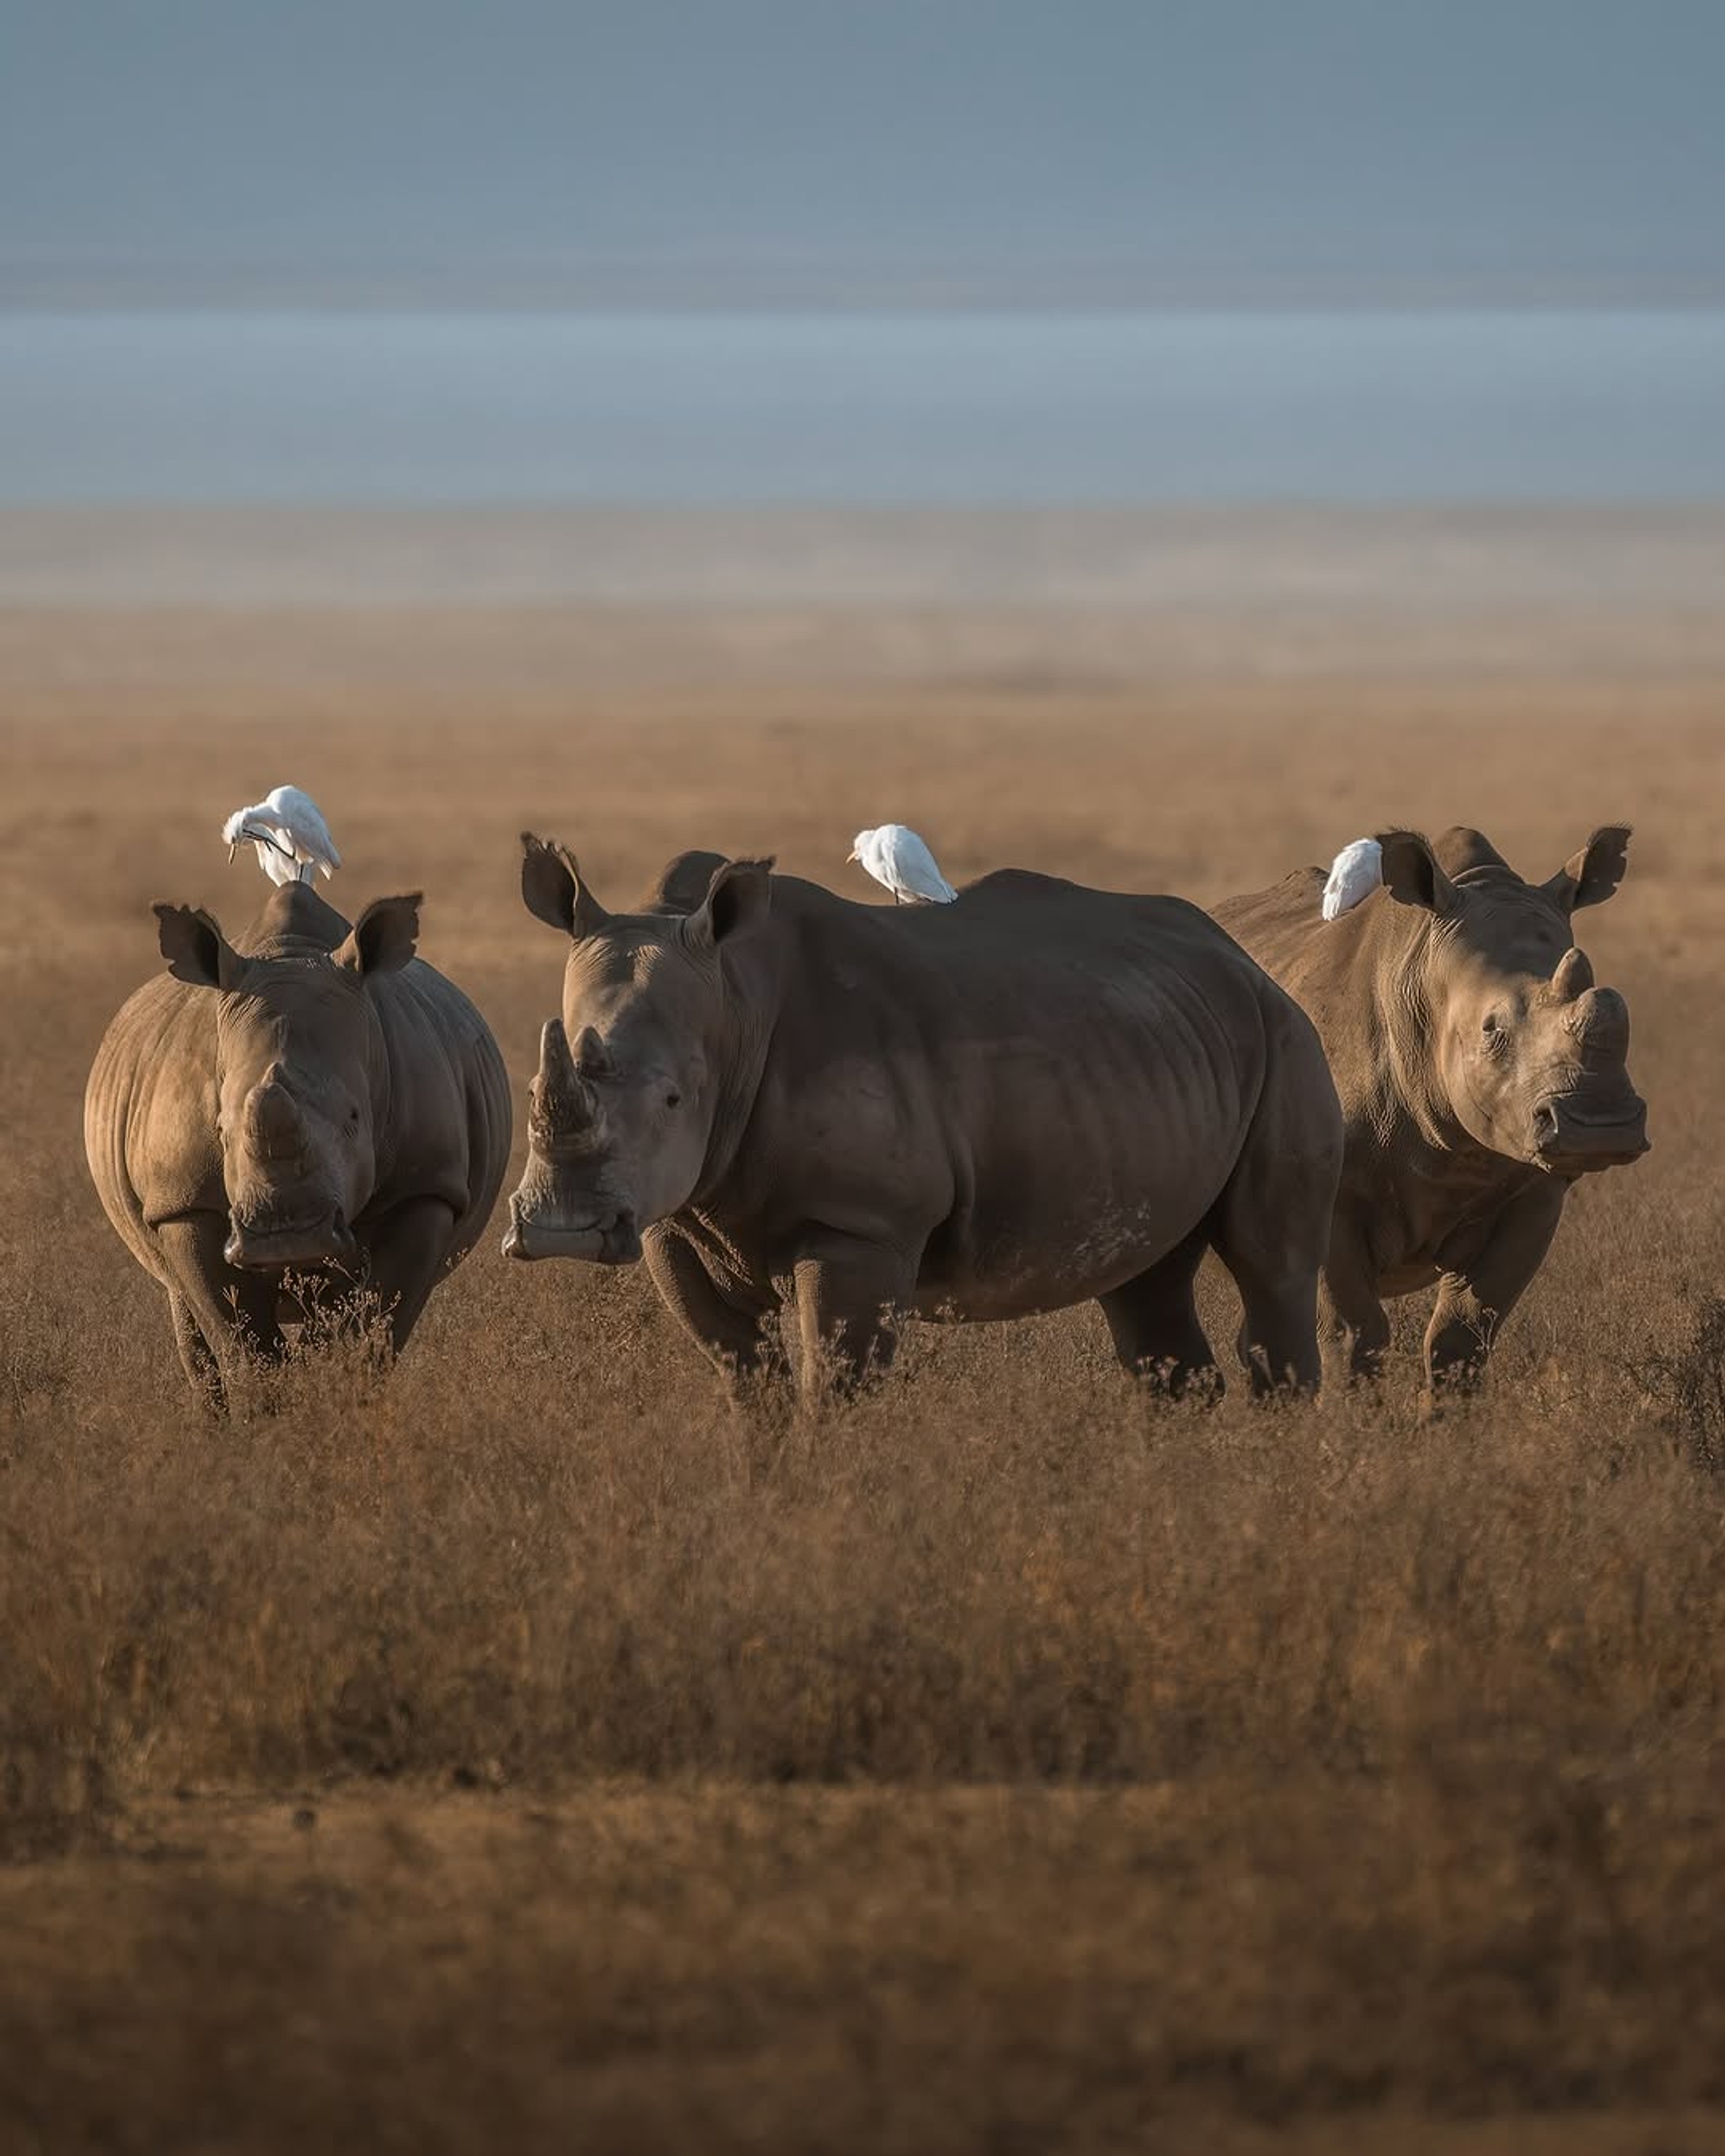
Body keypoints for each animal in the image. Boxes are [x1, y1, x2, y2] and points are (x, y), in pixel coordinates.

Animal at [86, 881, 512, 1406]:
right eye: (221, 1130)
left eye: (355, 1119)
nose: (285, 1238)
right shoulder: (182, 1199)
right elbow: (240, 1336)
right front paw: (270, 1414)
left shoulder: (426, 1188)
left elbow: (367, 1327)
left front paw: (331, 1398)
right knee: (181, 1301)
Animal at [502, 839, 1345, 1403]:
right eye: (533, 1088)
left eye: (675, 1100)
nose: (560, 1230)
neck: (735, 1001)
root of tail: (1239, 954)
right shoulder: (676, 1220)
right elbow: (747, 1381)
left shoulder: (859, 1223)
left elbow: (835, 1388)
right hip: (1156, 1050)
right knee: (1148, 1294)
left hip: (1287, 1035)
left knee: (1272, 1267)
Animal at [1214, 826, 1648, 1391]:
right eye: (1491, 1029)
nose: (1601, 1127)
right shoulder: (1329, 1185)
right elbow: (1354, 1333)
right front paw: (1351, 1413)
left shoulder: (1534, 1189)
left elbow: (1463, 1332)